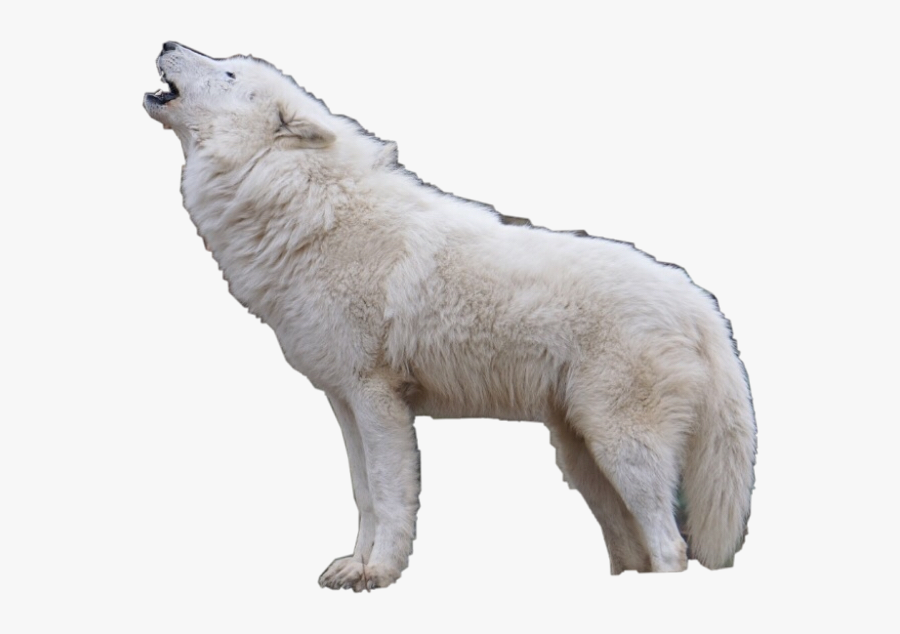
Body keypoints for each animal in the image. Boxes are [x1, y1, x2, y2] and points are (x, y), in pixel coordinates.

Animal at [144, 42, 756, 591]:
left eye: (227, 73)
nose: (167, 41)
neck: (306, 205)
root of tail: (701, 305)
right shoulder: (344, 400)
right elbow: (363, 493)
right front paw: (353, 566)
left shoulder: (377, 398)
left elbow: (389, 494)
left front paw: (378, 573)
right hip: (583, 456)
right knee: (633, 550)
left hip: (621, 447)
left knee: (671, 548)